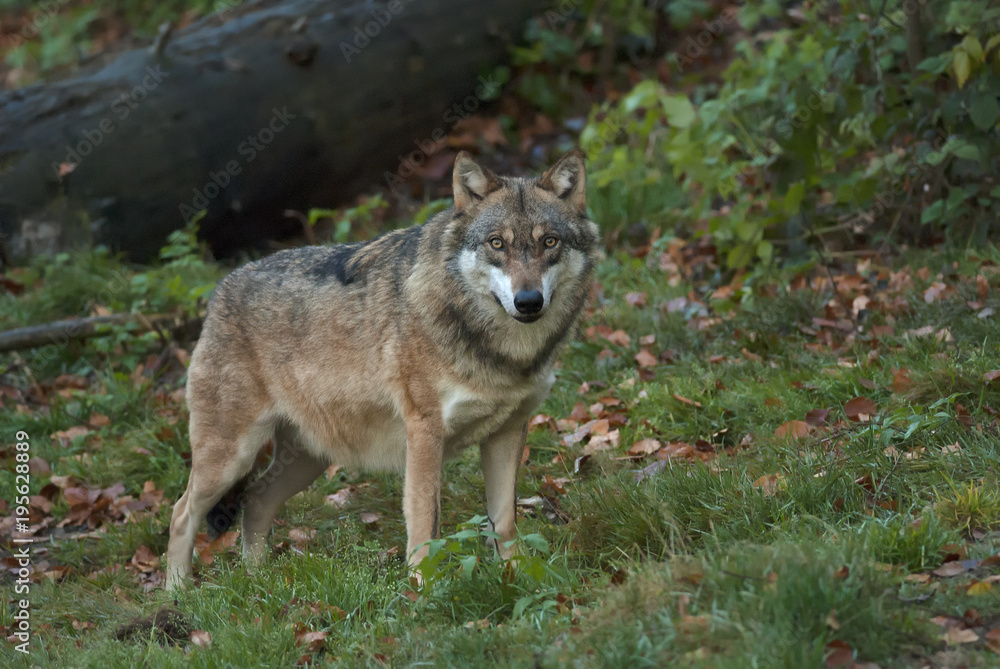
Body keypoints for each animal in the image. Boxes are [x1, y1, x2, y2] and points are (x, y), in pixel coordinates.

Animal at [167, 150, 596, 584]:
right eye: (497, 243)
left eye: (549, 241)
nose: (528, 301)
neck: (504, 353)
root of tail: (220, 290)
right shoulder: (424, 433)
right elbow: (424, 523)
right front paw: (424, 587)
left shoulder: (508, 432)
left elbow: (504, 521)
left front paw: (517, 577)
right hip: (229, 459)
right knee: (181, 512)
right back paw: (178, 590)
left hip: (306, 461)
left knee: (254, 501)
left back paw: (259, 579)